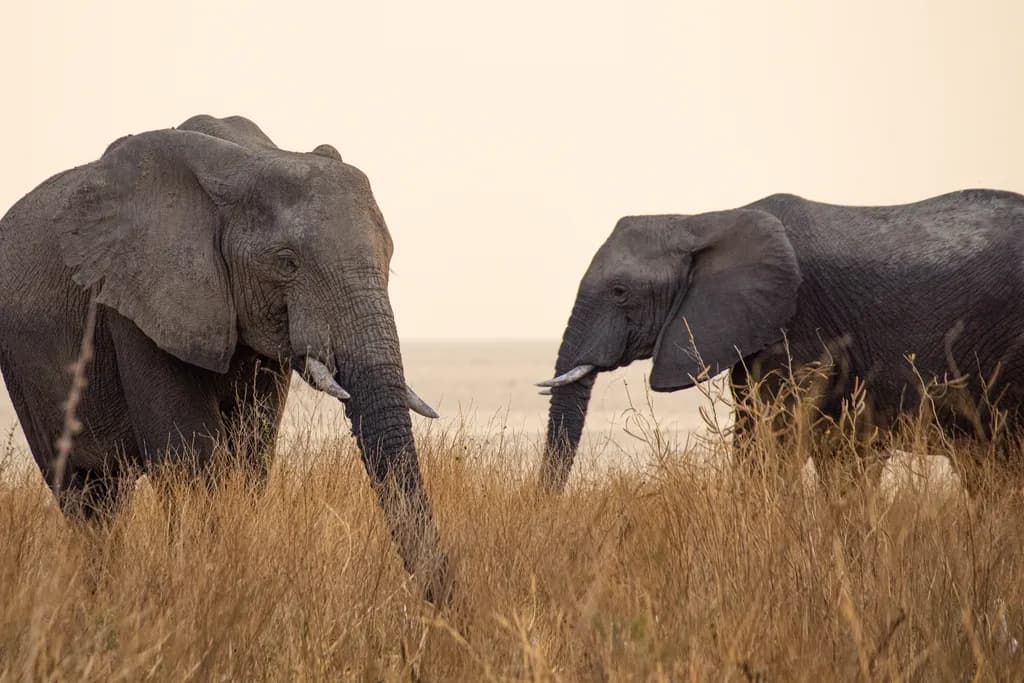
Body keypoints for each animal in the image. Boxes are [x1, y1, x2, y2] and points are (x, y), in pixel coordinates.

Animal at [0, 115, 448, 597]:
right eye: (287, 263)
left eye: (389, 258)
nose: (444, 605)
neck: (242, 166)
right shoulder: (140, 303)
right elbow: (191, 455)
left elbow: (253, 450)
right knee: (85, 496)